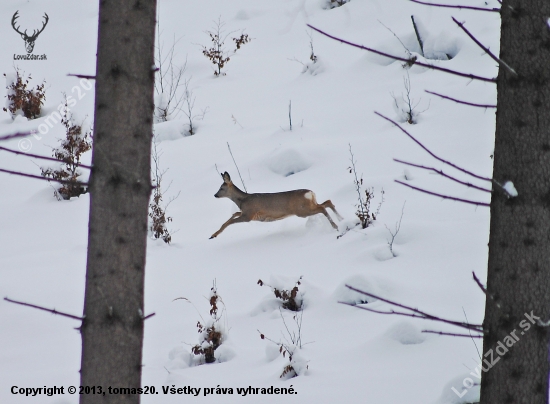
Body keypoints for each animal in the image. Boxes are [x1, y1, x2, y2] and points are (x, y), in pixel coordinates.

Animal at [211, 171, 344, 240]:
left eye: (221, 188)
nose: (215, 195)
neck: (242, 200)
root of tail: (310, 193)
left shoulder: (249, 215)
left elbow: (230, 222)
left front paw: (213, 235)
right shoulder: (246, 213)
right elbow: (233, 214)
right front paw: (214, 234)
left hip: (301, 210)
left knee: (322, 208)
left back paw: (336, 226)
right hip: (310, 205)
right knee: (327, 202)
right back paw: (341, 219)